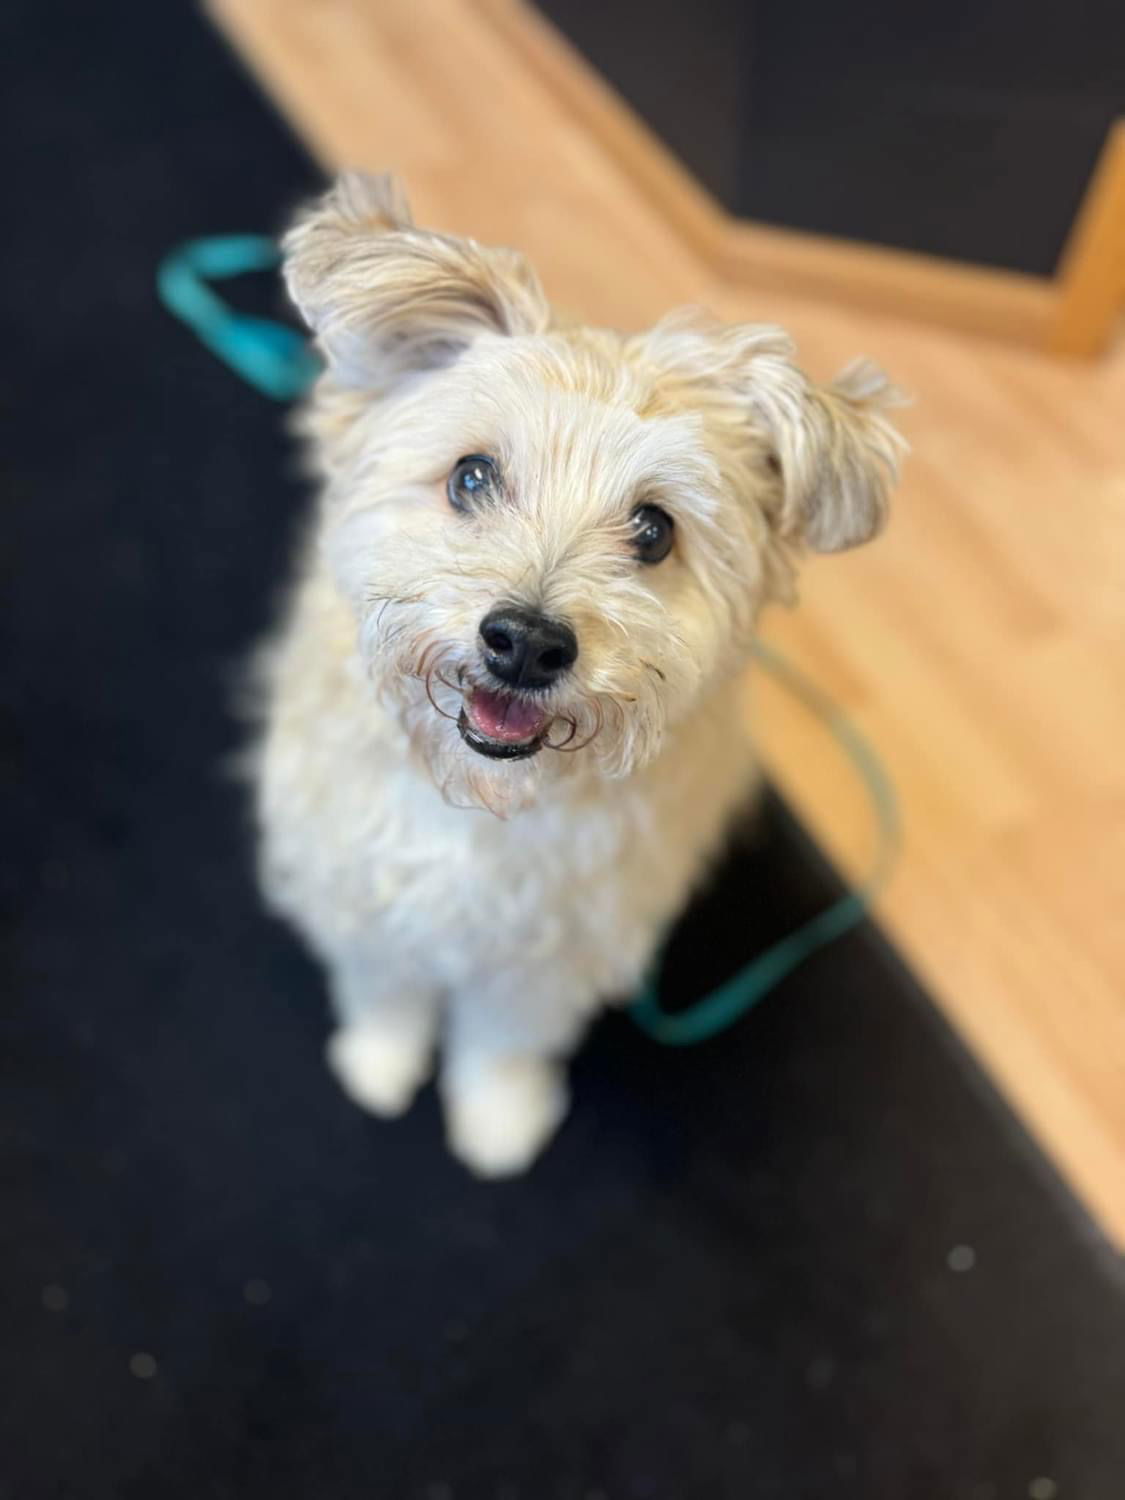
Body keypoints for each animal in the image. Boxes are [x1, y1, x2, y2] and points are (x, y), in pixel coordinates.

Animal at [253, 175, 906, 1176]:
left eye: (653, 530)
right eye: (472, 476)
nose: (524, 643)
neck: (482, 806)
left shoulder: (557, 948)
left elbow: (504, 1038)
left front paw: (496, 1120)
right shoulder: (355, 877)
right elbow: (385, 982)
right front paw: (378, 1062)